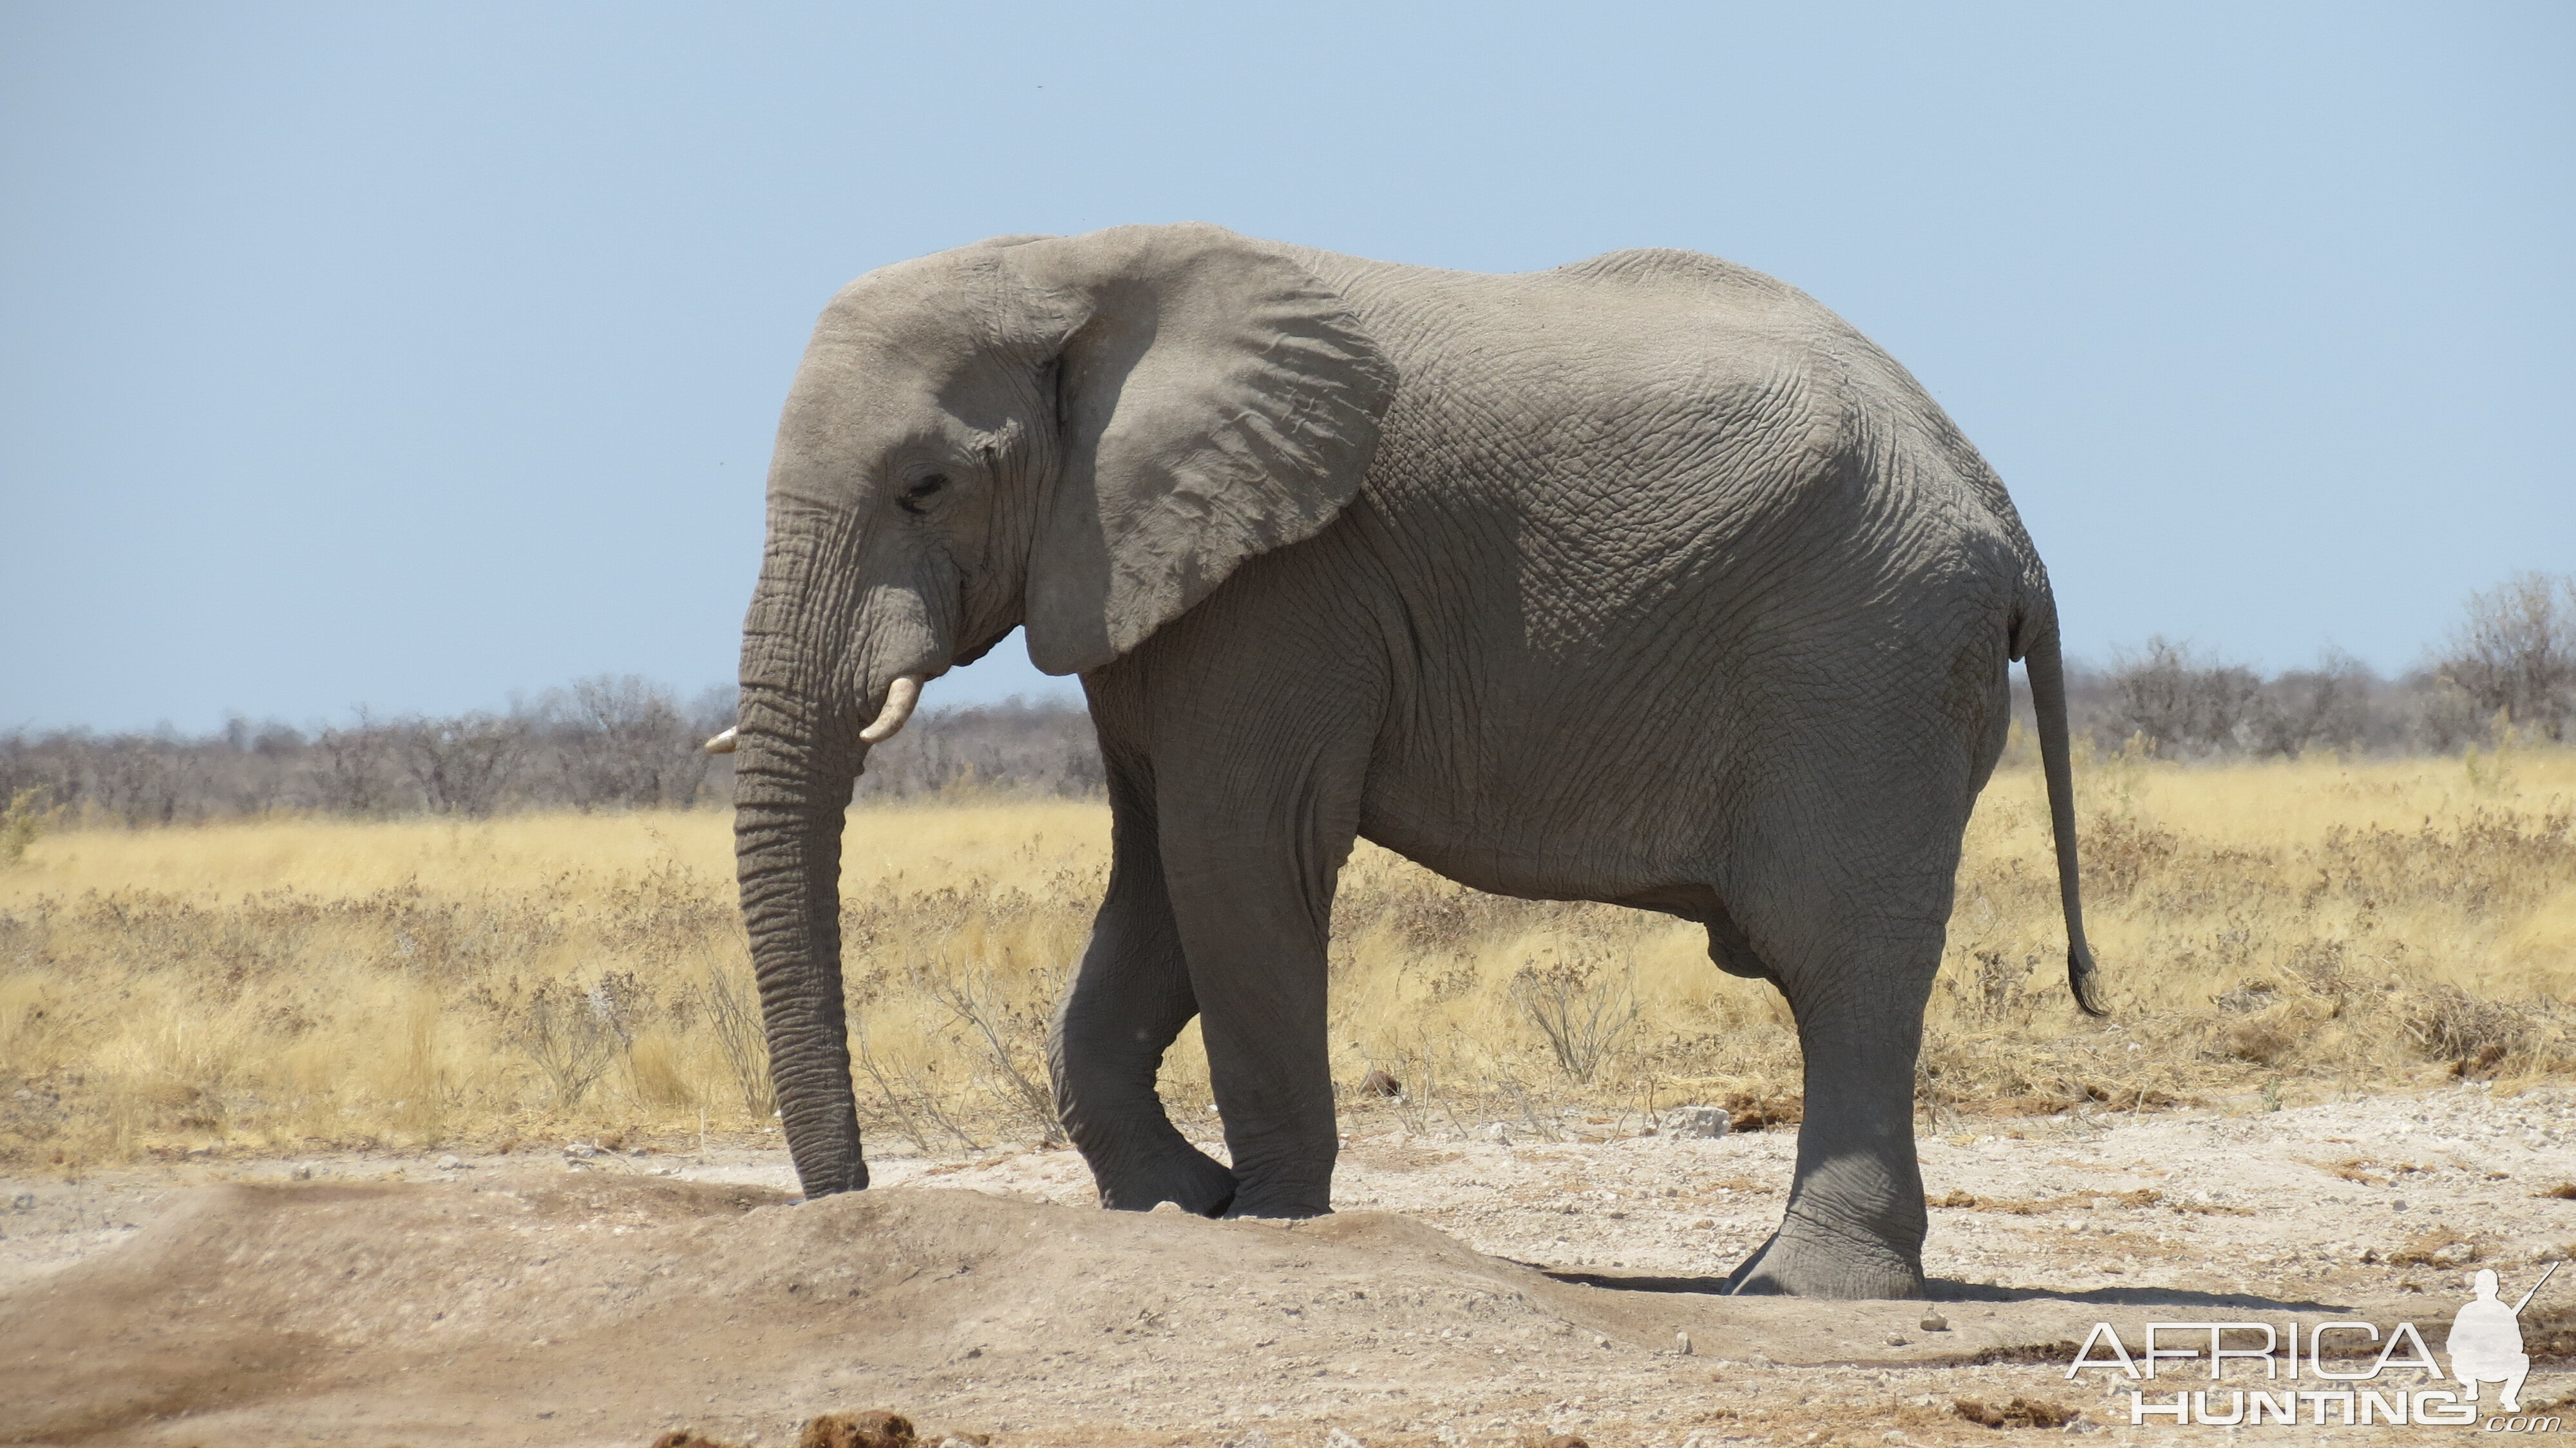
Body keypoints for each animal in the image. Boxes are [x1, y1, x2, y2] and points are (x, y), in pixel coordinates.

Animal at [716, 220, 2102, 1288]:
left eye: (926, 486)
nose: (849, 1204)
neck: (1078, 266)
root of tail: (2008, 522)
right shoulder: (1145, 571)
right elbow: (1157, 870)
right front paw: (1184, 1203)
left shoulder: (1287, 582)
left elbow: (1239, 855)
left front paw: (1270, 1220)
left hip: (1865, 664)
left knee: (1840, 960)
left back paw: (1801, 1287)